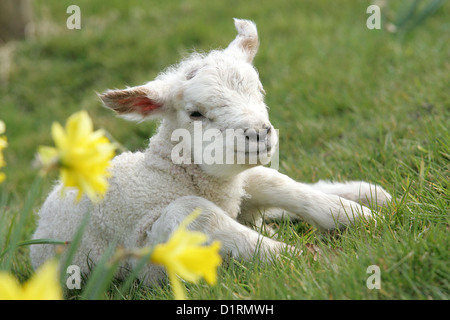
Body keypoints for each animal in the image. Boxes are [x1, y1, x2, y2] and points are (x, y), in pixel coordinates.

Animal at [30, 18, 390, 284]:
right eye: (195, 113)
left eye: (259, 90)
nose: (259, 134)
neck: (169, 175)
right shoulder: (147, 238)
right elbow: (201, 215)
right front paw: (304, 258)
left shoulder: (241, 186)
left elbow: (276, 182)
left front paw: (356, 215)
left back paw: (368, 193)